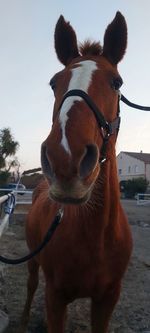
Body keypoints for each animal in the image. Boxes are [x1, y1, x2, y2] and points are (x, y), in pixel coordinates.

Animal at [18, 11, 132, 332]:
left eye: (116, 82)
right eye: (54, 83)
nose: (65, 159)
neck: (96, 235)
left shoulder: (107, 300)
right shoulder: (55, 298)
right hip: (33, 261)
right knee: (31, 285)